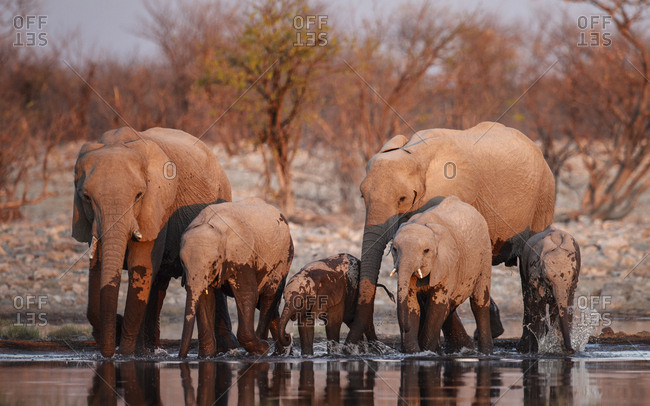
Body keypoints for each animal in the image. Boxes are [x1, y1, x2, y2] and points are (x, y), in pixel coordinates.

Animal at [72, 126, 234, 357]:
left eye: (139, 196)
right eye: (86, 197)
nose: (109, 354)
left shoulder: (157, 209)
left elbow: (141, 265)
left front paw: (126, 354)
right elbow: (98, 268)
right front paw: (119, 337)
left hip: (221, 199)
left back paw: (227, 348)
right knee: (158, 282)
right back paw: (148, 349)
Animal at [178, 198, 294, 358]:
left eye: (213, 263)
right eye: (182, 263)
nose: (181, 358)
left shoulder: (242, 257)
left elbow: (247, 294)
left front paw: (262, 349)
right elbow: (205, 299)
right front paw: (206, 357)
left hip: (283, 258)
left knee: (269, 296)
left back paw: (267, 348)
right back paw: (282, 352)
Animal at [391, 196, 493, 354]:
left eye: (426, 251)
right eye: (394, 249)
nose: (405, 329)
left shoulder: (448, 263)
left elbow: (436, 305)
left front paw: (427, 352)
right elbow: (412, 303)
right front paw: (413, 352)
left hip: (485, 255)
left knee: (479, 302)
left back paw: (485, 352)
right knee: (449, 306)